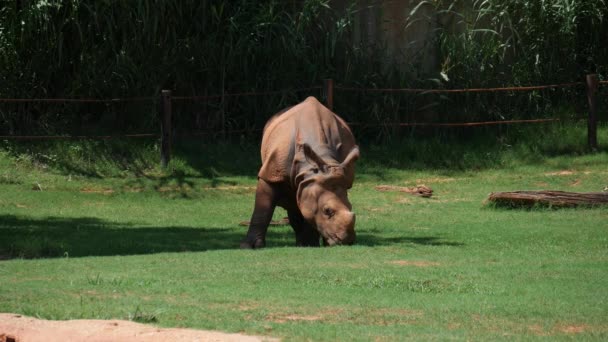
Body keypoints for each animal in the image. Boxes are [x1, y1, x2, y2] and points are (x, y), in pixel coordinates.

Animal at [240, 96, 358, 248]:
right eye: (327, 211)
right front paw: (250, 246)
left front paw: (310, 244)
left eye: (351, 207)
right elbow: (262, 209)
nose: (347, 241)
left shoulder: (313, 180)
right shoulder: (271, 174)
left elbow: (308, 209)